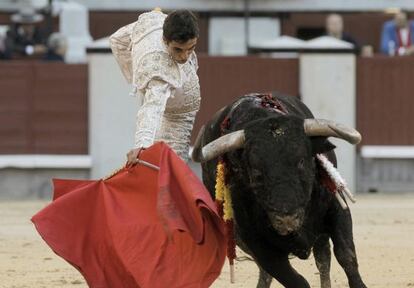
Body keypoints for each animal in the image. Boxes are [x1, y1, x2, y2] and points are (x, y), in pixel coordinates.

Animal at [192, 93, 368, 288]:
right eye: (256, 170)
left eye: (301, 161)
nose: (286, 219)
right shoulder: (256, 242)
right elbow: (294, 279)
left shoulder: (337, 209)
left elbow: (346, 256)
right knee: (267, 272)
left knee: (323, 257)